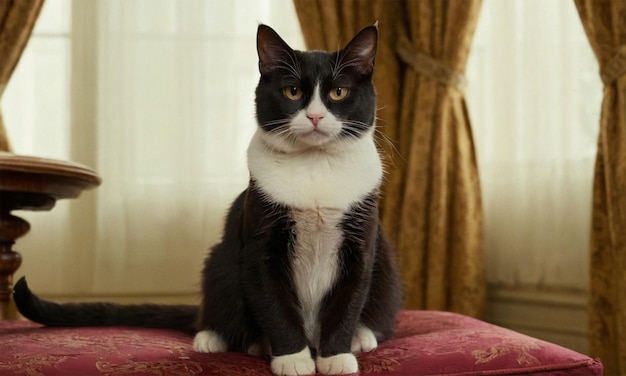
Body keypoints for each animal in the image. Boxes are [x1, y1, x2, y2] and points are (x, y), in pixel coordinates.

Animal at [12, 24, 402, 376]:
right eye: (292, 91)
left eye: (338, 92)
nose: (316, 116)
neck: (315, 166)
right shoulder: (259, 239)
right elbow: (272, 299)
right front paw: (292, 358)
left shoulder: (360, 244)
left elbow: (349, 297)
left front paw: (336, 356)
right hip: (221, 260)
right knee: (218, 294)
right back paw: (216, 338)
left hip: (385, 262)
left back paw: (361, 336)